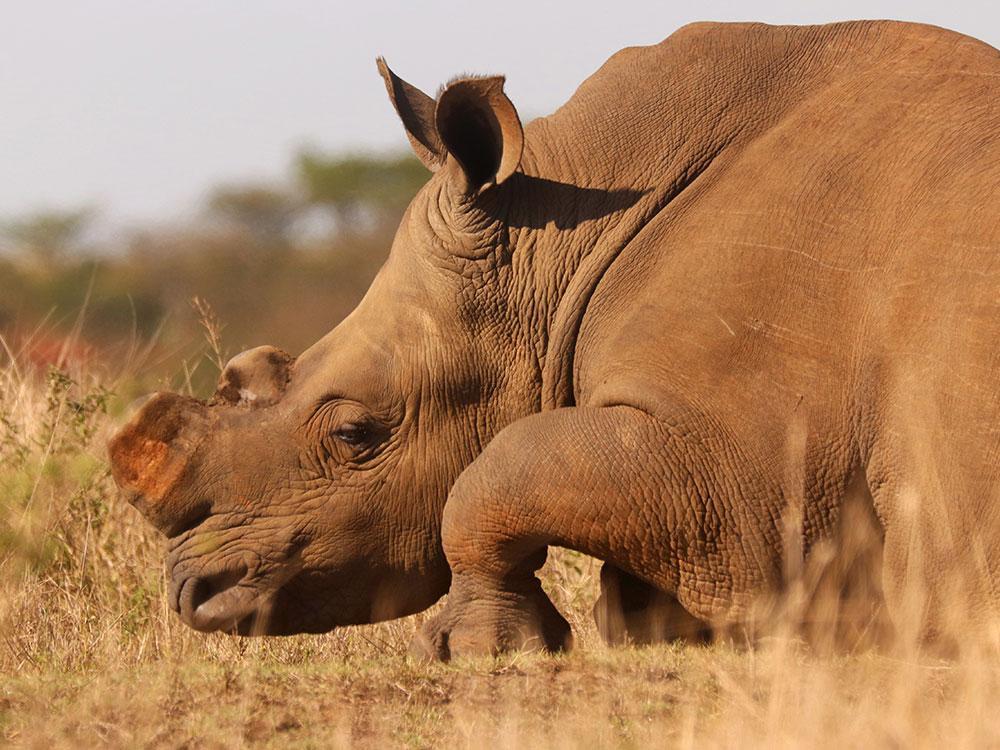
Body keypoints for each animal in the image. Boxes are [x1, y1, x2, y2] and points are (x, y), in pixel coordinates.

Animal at [109, 20, 1000, 659]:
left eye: (355, 434)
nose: (192, 591)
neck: (557, 239)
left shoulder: (741, 471)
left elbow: (496, 475)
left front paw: (471, 651)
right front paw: (644, 618)